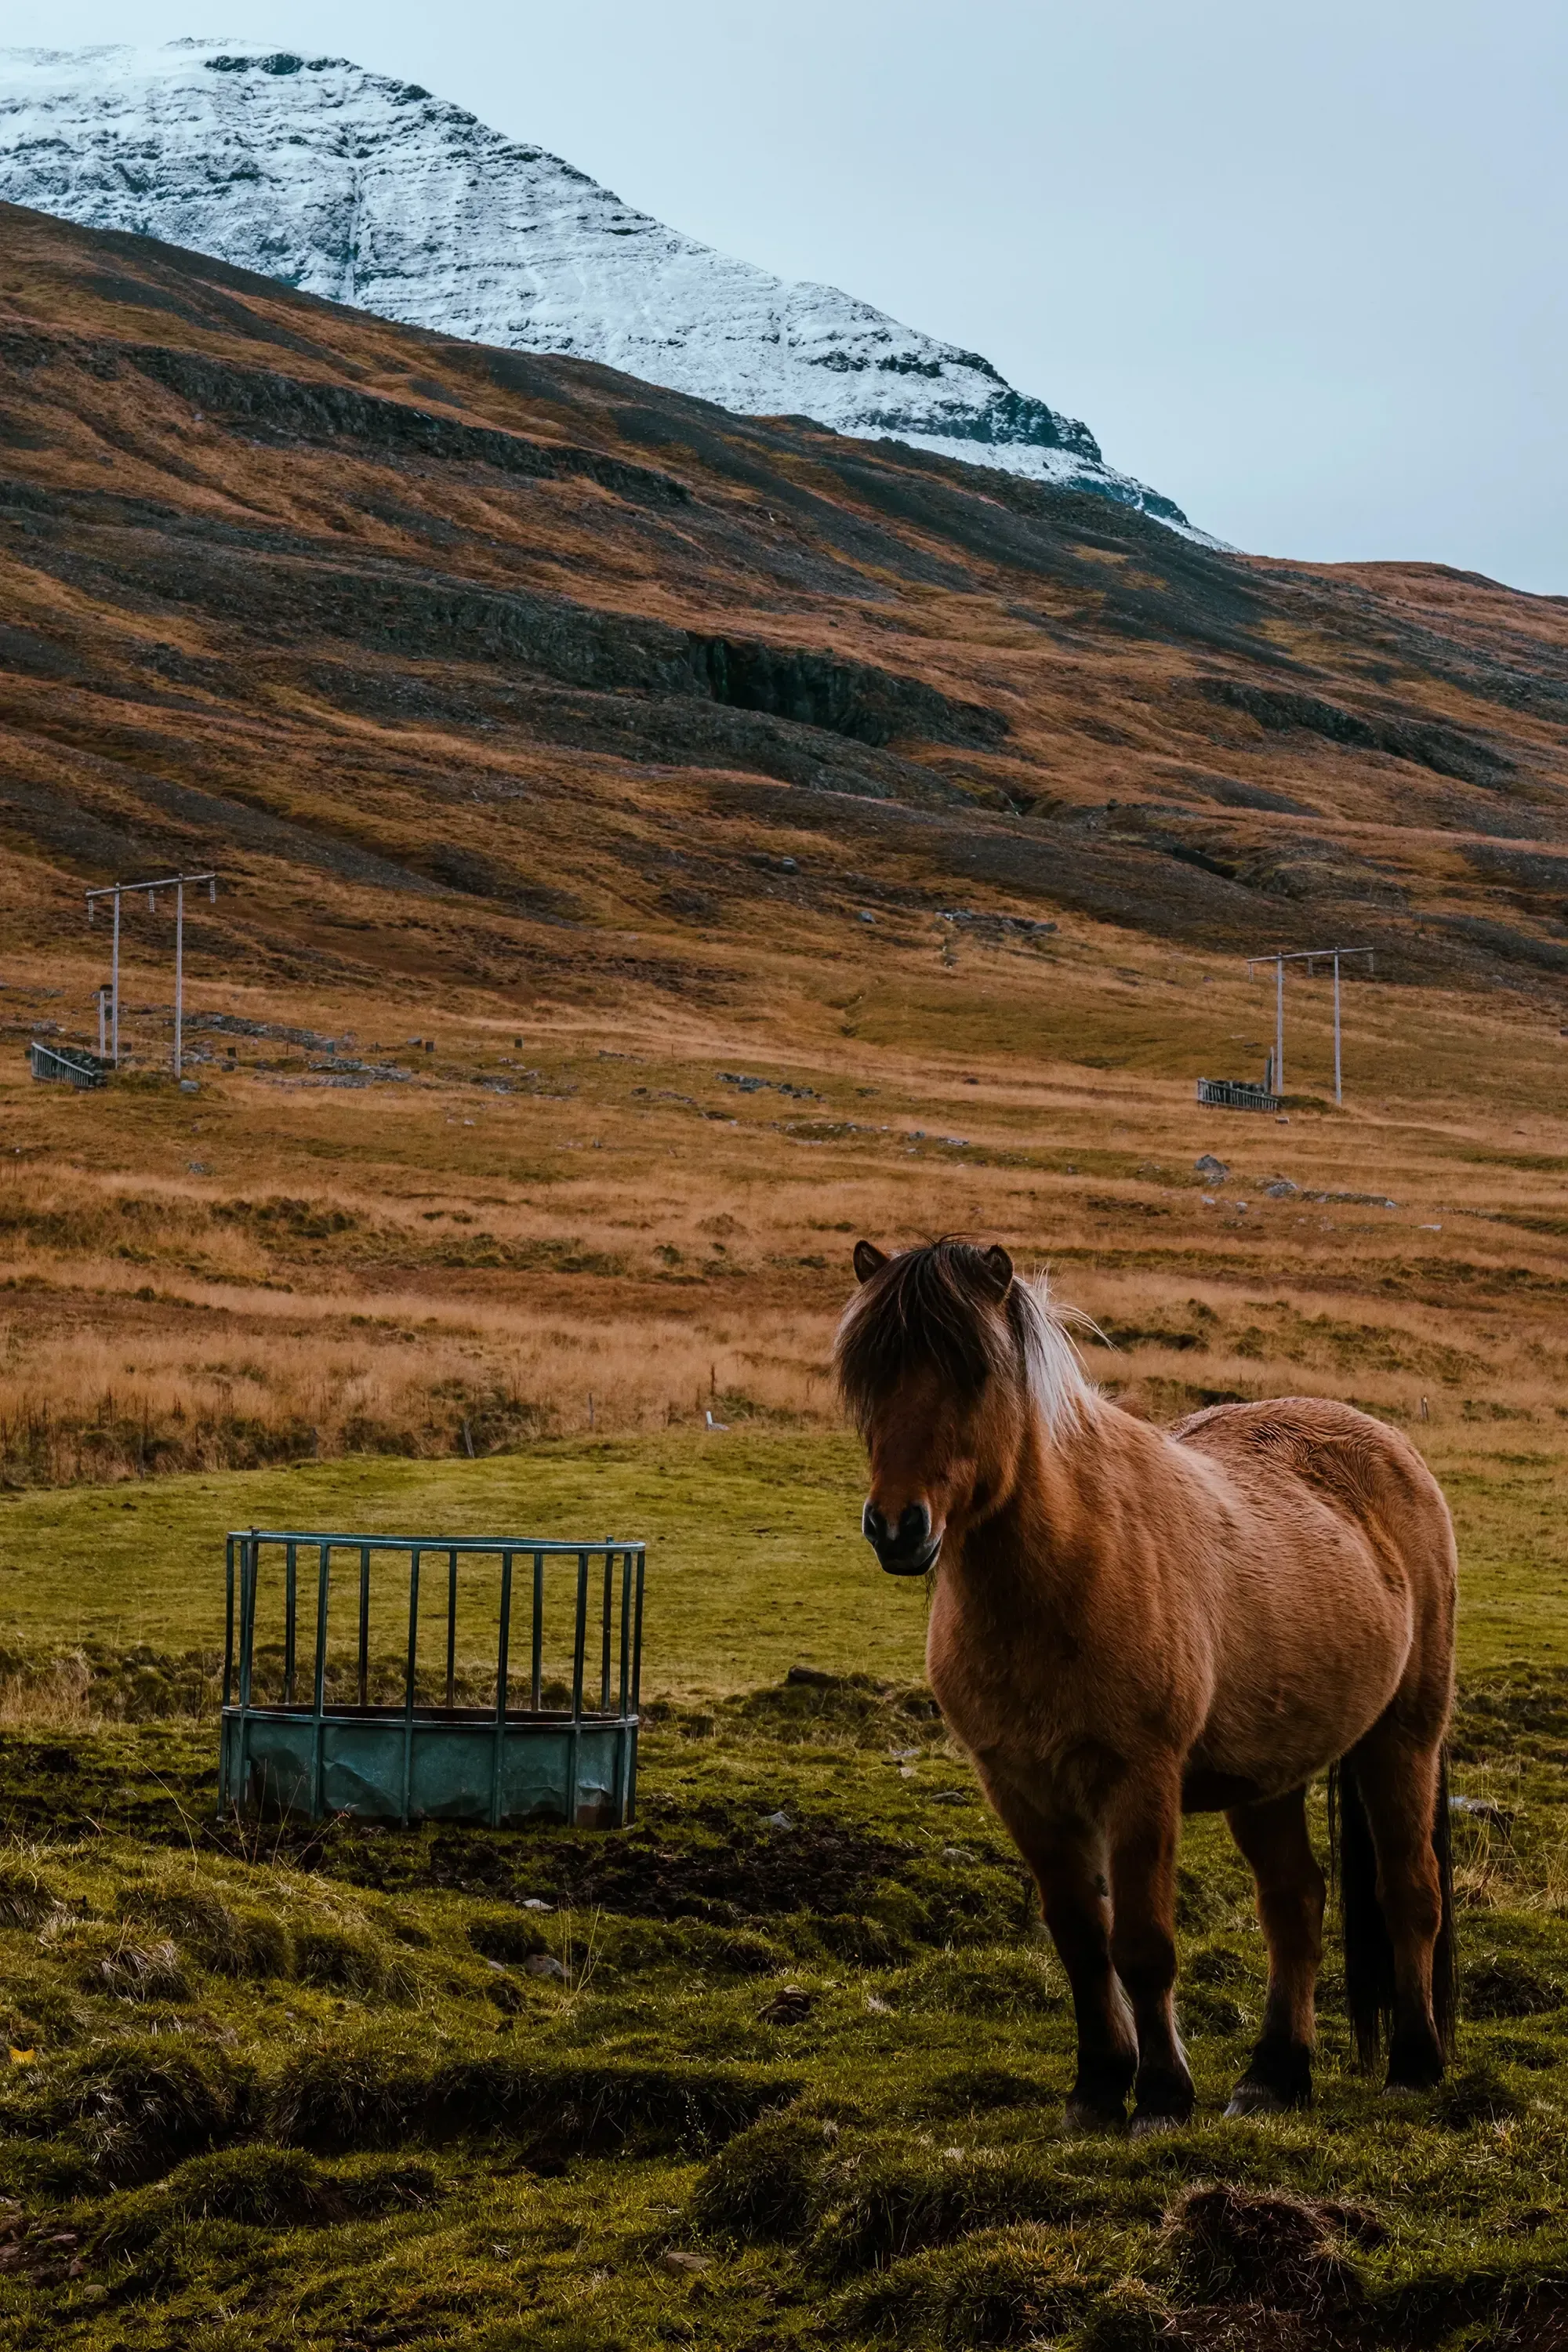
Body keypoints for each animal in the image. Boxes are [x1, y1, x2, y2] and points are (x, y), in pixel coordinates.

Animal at [835, 1237, 1457, 2131]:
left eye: (975, 1372)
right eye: (867, 1374)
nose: (896, 1527)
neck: (1066, 1571)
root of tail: (1389, 1446)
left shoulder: (1139, 1780)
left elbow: (1141, 1945)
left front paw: (1161, 2094)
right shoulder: (1021, 1788)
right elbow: (1080, 1942)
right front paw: (1097, 2087)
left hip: (1400, 1740)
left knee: (1409, 1893)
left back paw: (1414, 2064)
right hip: (1267, 1777)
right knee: (1295, 1904)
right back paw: (1274, 2075)